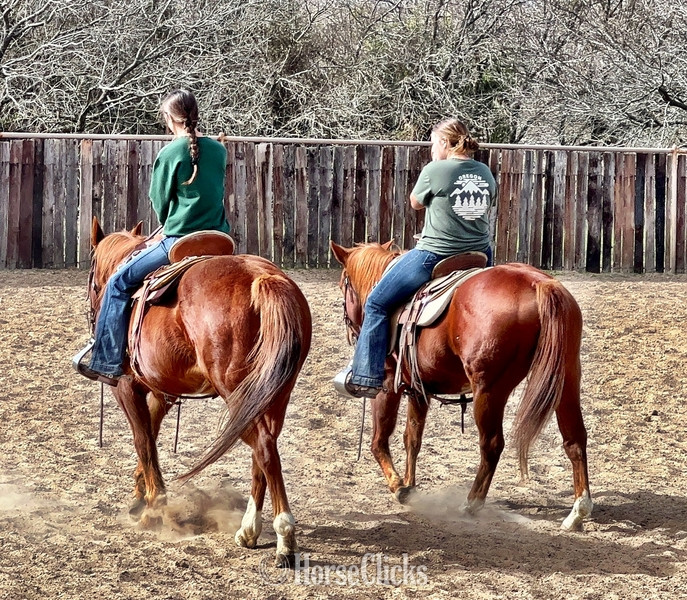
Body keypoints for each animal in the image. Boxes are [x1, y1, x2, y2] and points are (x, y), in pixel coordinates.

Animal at [86, 218, 312, 566]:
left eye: (91, 270)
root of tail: (263, 278)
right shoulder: (160, 391)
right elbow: (150, 436)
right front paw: (140, 496)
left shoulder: (126, 387)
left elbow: (142, 441)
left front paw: (152, 510)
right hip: (273, 393)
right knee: (266, 448)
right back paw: (250, 530)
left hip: (239, 394)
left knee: (262, 448)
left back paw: (284, 537)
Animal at [331, 241, 592, 531]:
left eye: (343, 284)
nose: (352, 330)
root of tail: (538, 283)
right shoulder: (418, 389)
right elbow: (412, 438)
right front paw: (410, 484)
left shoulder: (388, 383)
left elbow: (379, 439)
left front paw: (399, 487)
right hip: (566, 379)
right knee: (575, 438)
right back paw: (577, 511)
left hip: (489, 389)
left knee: (492, 444)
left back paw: (471, 504)